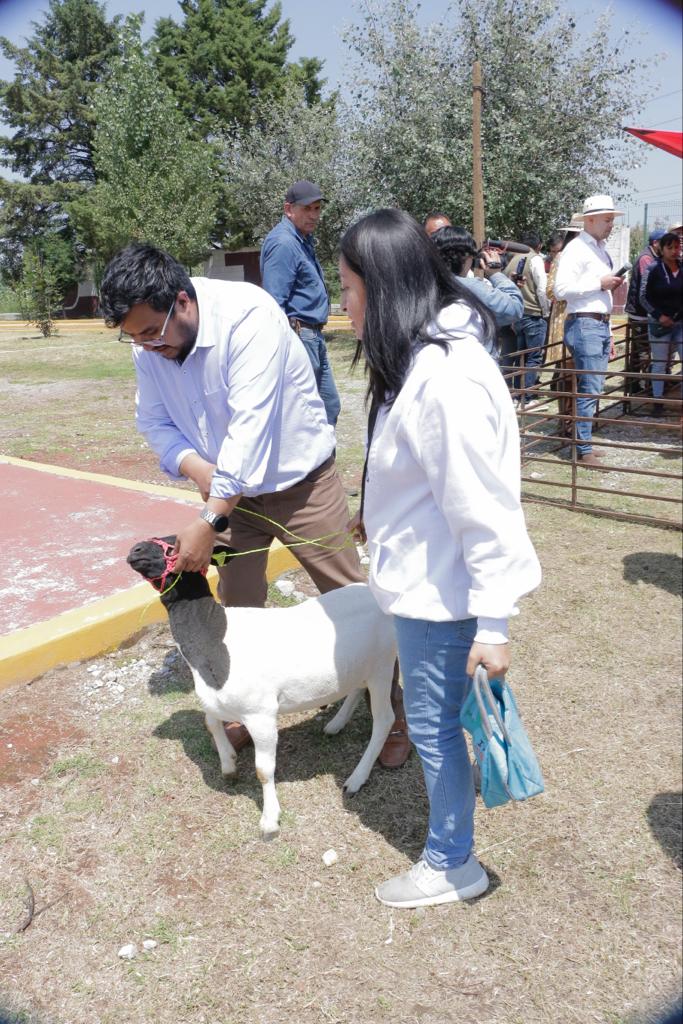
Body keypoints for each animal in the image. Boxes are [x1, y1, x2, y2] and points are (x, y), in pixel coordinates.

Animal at [125, 540, 397, 835]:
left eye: (173, 545)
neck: (214, 636)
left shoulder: (261, 714)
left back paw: (356, 778)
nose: (135, 550)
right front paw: (228, 763)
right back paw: (335, 725)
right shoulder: (216, 699)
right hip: (362, 663)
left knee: (385, 719)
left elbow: (263, 770)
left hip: (383, 663)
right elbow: (211, 722)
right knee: (357, 687)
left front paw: (270, 820)